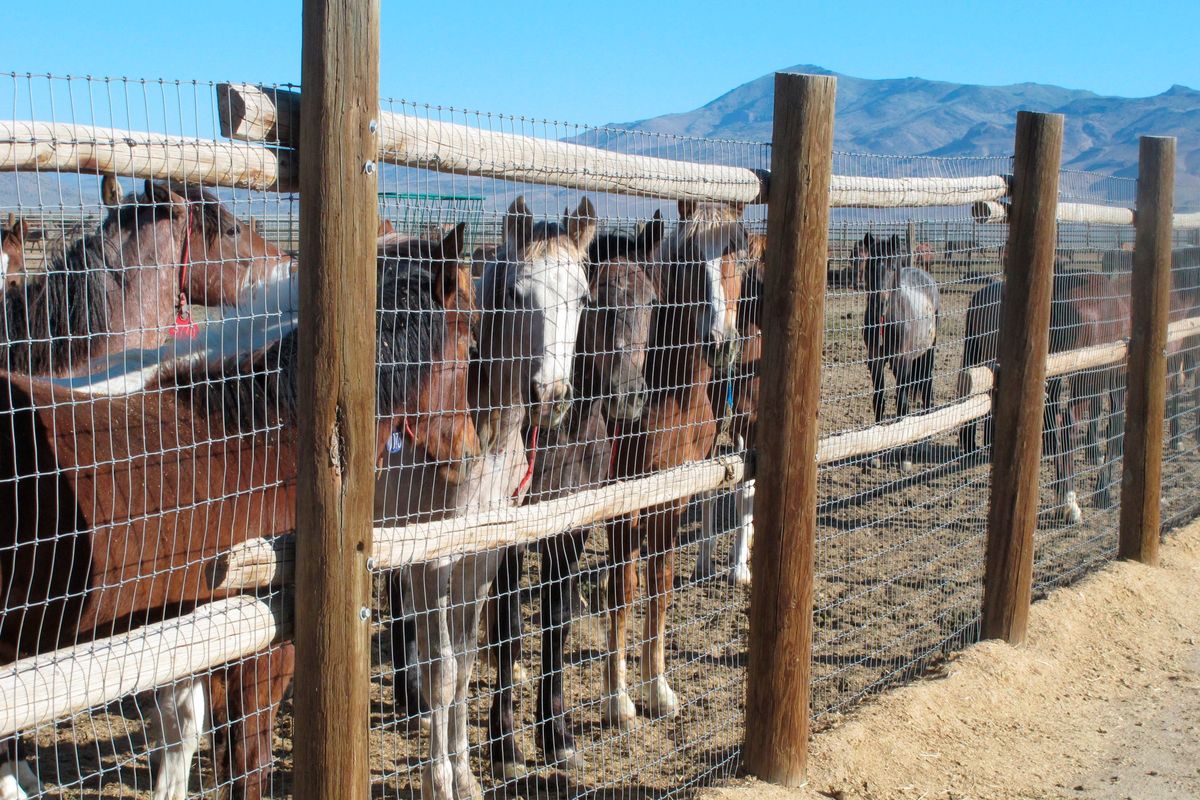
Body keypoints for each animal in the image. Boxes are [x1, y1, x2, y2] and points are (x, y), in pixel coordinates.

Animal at [379, 195, 595, 800]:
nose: (553, 396)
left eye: (584, 295)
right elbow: (444, 669)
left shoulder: (485, 552)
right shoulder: (433, 557)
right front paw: (439, 781)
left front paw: (468, 773)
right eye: (520, 294)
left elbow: (470, 659)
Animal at [604, 199, 744, 724]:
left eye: (738, 252)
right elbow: (624, 589)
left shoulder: (674, 490)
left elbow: (660, 584)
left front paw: (658, 687)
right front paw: (619, 699)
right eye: (687, 260)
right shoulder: (623, 499)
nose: (721, 342)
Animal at [859, 231, 940, 472]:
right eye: (870, 264)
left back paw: (924, 442)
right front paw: (875, 456)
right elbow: (879, 401)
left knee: (927, 390)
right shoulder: (875, 361)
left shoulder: (902, 362)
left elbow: (902, 406)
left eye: (893, 267)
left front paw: (904, 459)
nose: (880, 304)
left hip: (927, 354)